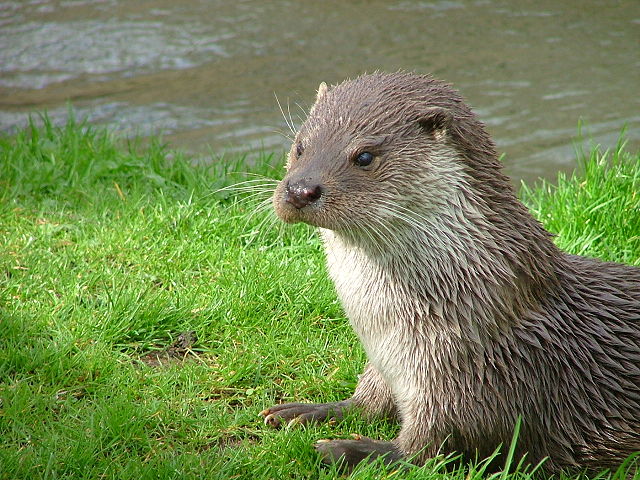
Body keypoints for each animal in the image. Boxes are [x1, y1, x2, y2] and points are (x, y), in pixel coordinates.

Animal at [260, 72, 640, 474]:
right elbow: (366, 403)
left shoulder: (474, 382)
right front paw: (306, 412)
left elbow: (431, 450)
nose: (301, 189)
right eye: (300, 147)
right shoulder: (388, 366)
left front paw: (344, 450)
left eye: (364, 156)